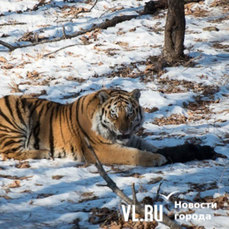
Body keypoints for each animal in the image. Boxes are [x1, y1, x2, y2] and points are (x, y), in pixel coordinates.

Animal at [0, 88, 168, 166]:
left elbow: (147, 145)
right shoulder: (101, 149)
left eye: (130, 114)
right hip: (15, 117)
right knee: (11, 152)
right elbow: (133, 154)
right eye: (114, 114)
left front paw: (160, 151)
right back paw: (44, 153)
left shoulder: (130, 138)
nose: (123, 130)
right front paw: (156, 158)